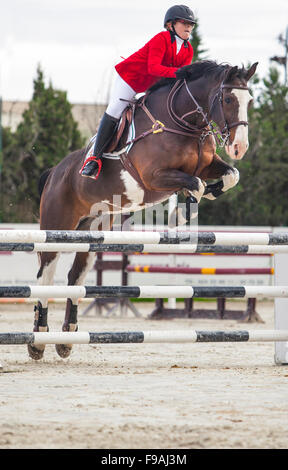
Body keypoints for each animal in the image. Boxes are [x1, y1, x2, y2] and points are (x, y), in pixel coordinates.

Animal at [28, 59, 258, 360]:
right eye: (228, 99)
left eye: (250, 101)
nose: (239, 147)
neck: (184, 123)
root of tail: (54, 172)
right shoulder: (155, 177)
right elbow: (195, 184)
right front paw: (181, 213)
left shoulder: (207, 165)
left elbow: (231, 176)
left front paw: (209, 192)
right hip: (56, 229)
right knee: (46, 275)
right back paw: (38, 340)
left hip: (89, 233)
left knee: (75, 277)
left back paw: (66, 339)